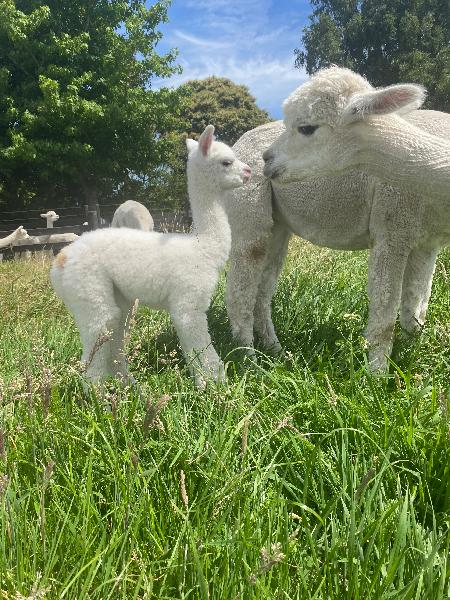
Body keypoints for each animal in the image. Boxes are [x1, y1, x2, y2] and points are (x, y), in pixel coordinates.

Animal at [51, 127, 253, 390]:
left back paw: (129, 388)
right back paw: (98, 397)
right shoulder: (188, 301)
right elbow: (200, 346)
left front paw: (212, 383)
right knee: (100, 334)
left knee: (116, 329)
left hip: (117, 297)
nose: (249, 171)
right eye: (227, 162)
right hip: (88, 287)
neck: (202, 247)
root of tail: (59, 260)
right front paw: (212, 385)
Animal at [227, 68, 450, 372]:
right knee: (240, 289)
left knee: (262, 290)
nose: (267, 159)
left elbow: (415, 308)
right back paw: (248, 361)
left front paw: (413, 359)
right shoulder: (392, 226)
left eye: (306, 128)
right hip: (248, 208)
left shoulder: (427, 239)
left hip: (278, 225)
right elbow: (385, 309)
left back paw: (275, 351)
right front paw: (377, 374)